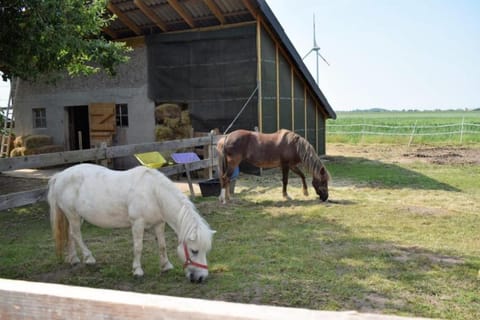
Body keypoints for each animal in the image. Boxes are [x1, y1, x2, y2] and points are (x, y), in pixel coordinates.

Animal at [48, 162, 214, 282]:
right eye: (194, 251)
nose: (201, 278)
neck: (153, 192)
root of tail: (60, 175)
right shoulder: (138, 223)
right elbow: (138, 247)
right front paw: (137, 270)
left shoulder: (159, 224)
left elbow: (162, 246)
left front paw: (166, 266)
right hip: (73, 215)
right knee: (76, 235)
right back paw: (89, 258)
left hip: (73, 217)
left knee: (70, 235)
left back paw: (74, 259)